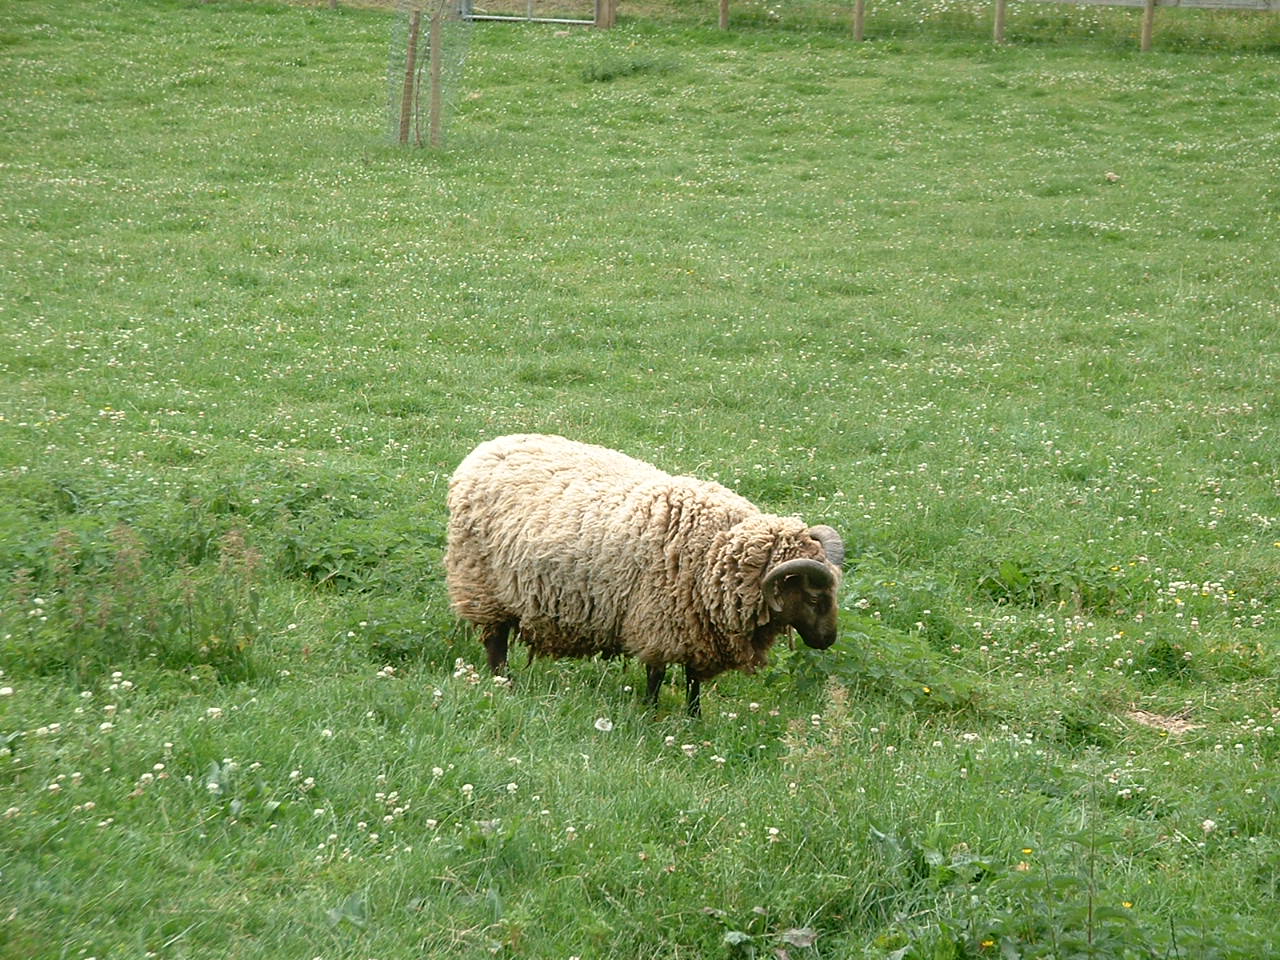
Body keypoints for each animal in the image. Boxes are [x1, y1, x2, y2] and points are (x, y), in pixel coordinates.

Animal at [445, 435, 844, 716]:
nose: (827, 640)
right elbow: (656, 675)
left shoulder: (695, 626)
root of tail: (488, 448)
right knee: (495, 641)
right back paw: (504, 684)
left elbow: (692, 679)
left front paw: (693, 719)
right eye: (812, 596)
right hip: (481, 584)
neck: (715, 550)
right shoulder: (658, 621)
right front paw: (651, 714)